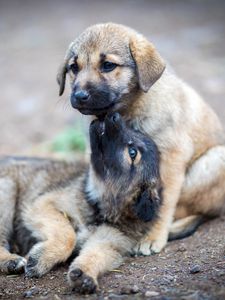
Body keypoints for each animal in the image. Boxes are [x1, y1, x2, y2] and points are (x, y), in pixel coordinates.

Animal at [0, 113, 162, 294]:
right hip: (7, 191)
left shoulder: (109, 242)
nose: (114, 115)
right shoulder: (44, 203)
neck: (99, 208)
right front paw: (40, 259)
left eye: (133, 153)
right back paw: (11, 261)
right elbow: (68, 236)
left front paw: (84, 275)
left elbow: (95, 255)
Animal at [56, 22, 225, 255]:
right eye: (74, 67)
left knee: (197, 210)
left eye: (108, 65)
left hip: (214, 161)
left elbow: (162, 204)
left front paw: (152, 237)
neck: (130, 109)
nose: (80, 96)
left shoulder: (171, 159)